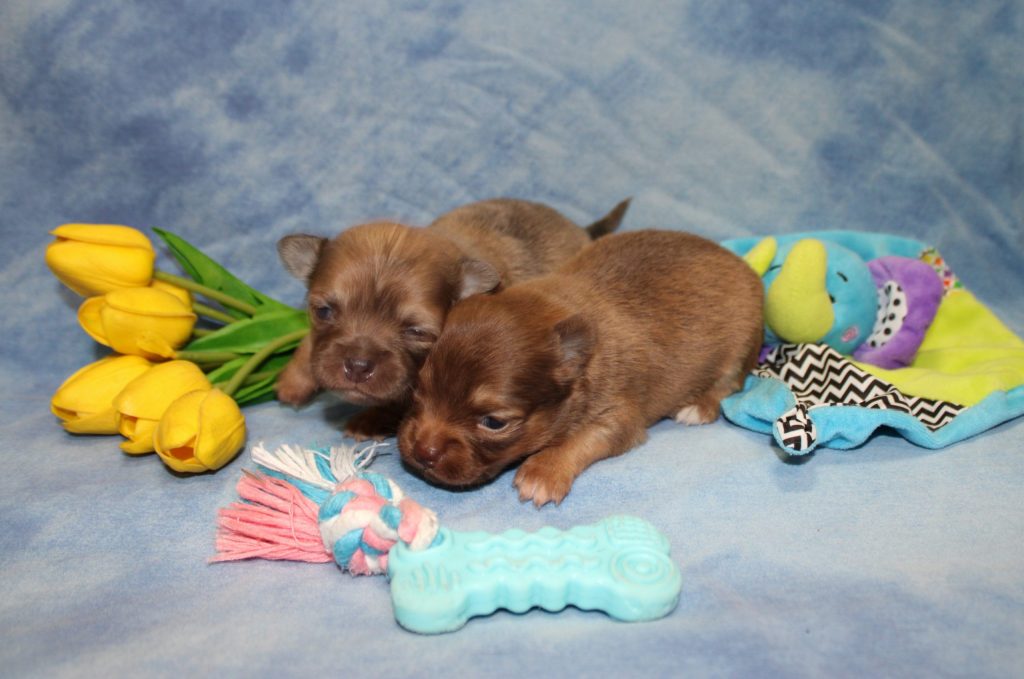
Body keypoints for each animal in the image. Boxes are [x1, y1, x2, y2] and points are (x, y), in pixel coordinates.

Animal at [275, 198, 630, 439]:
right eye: (323, 311)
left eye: (416, 331)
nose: (357, 366)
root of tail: (580, 229)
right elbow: (309, 341)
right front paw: (294, 379)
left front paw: (370, 420)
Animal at [397, 229, 764, 506]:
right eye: (418, 390)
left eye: (494, 423)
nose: (422, 452)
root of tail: (736, 260)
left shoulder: (619, 417)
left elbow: (582, 438)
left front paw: (544, 471)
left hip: (741, 344)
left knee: (729, 384)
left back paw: (698, 407)